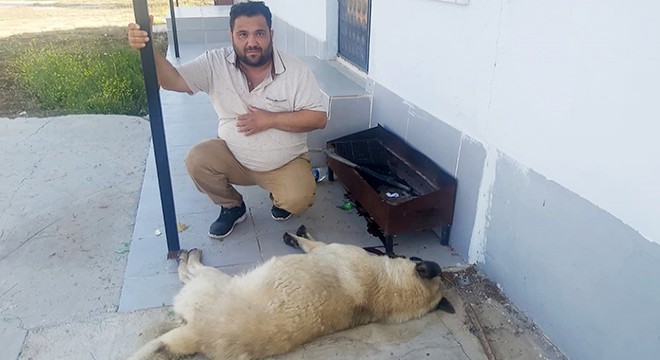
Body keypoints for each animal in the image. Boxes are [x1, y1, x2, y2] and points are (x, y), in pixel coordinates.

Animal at [129, 224, 454, 358]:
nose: (405, 254)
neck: (388, 291)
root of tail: (197, 334)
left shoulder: (325, 249)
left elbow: (310, 242)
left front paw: (295, 236)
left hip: (211, 280)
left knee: (188, 272)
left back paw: (188, 256)